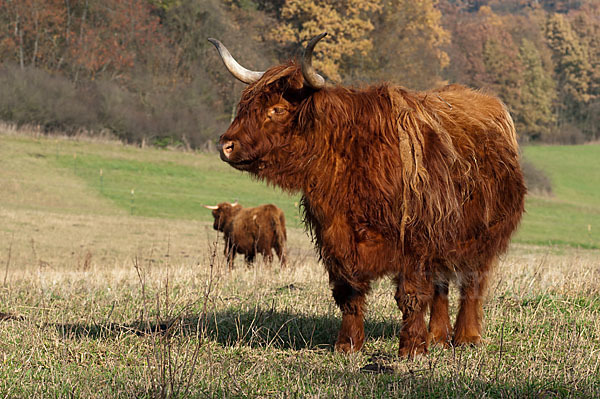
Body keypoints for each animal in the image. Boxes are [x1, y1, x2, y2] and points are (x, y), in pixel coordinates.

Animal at [210, 32, 524, 358]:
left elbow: (411, 295)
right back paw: (438, 336)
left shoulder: (415, 242)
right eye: (245, 105)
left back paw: (466, 337)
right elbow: (349, 293)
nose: (226, 145)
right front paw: (347, 344)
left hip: (482, 239)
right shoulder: (336, 239)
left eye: (278, 110)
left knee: (472, 284)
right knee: (441, 286)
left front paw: (412, 348)